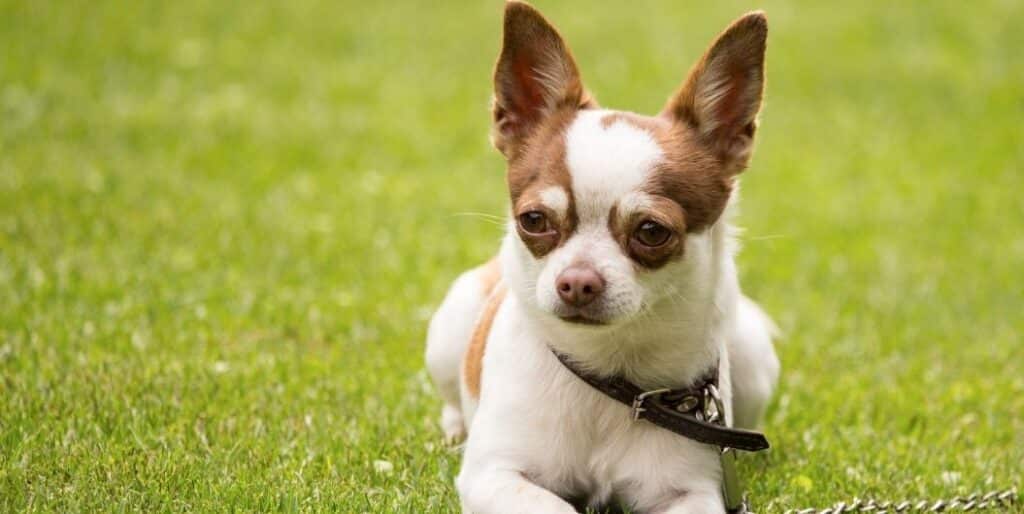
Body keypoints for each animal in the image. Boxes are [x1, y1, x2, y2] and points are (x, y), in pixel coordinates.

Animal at [428, 3, 778, 509]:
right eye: (534, 220)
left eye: (652, 231)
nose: (577, 282)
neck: (609, 374)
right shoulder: (493, 476)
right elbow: (551, 504)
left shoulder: (691, 493)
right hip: (449, 329)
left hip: (751, 352)